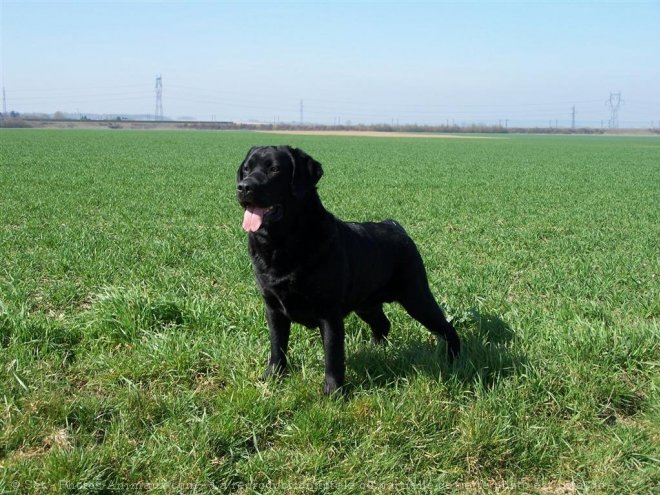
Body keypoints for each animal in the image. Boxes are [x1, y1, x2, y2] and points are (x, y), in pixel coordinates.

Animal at [237, 145, 458, 394]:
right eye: (246, 169)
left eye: (274, 169)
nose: (244, 186)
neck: (282, 243)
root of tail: (395, 226)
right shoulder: (273, 308)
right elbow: (277, 347)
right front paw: (273, 377)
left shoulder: (328, 313)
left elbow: (333, 355)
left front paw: (333, 392)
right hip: (366, 304)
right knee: (383, 324)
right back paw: (376, 350)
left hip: (416, 297)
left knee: (446, 327)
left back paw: (453, 359)